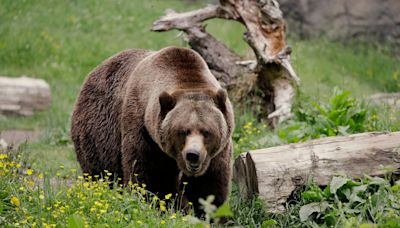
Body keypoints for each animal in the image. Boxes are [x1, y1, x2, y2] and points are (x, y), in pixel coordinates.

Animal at [71, 46, 234, 214]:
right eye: (182, 131)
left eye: (206, 132)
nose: (193, 155)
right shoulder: (144, 131)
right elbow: (152, 178)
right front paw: (168, 206)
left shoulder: (217, 151)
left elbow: (209, 184)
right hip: (98, 132)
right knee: (100, 171)